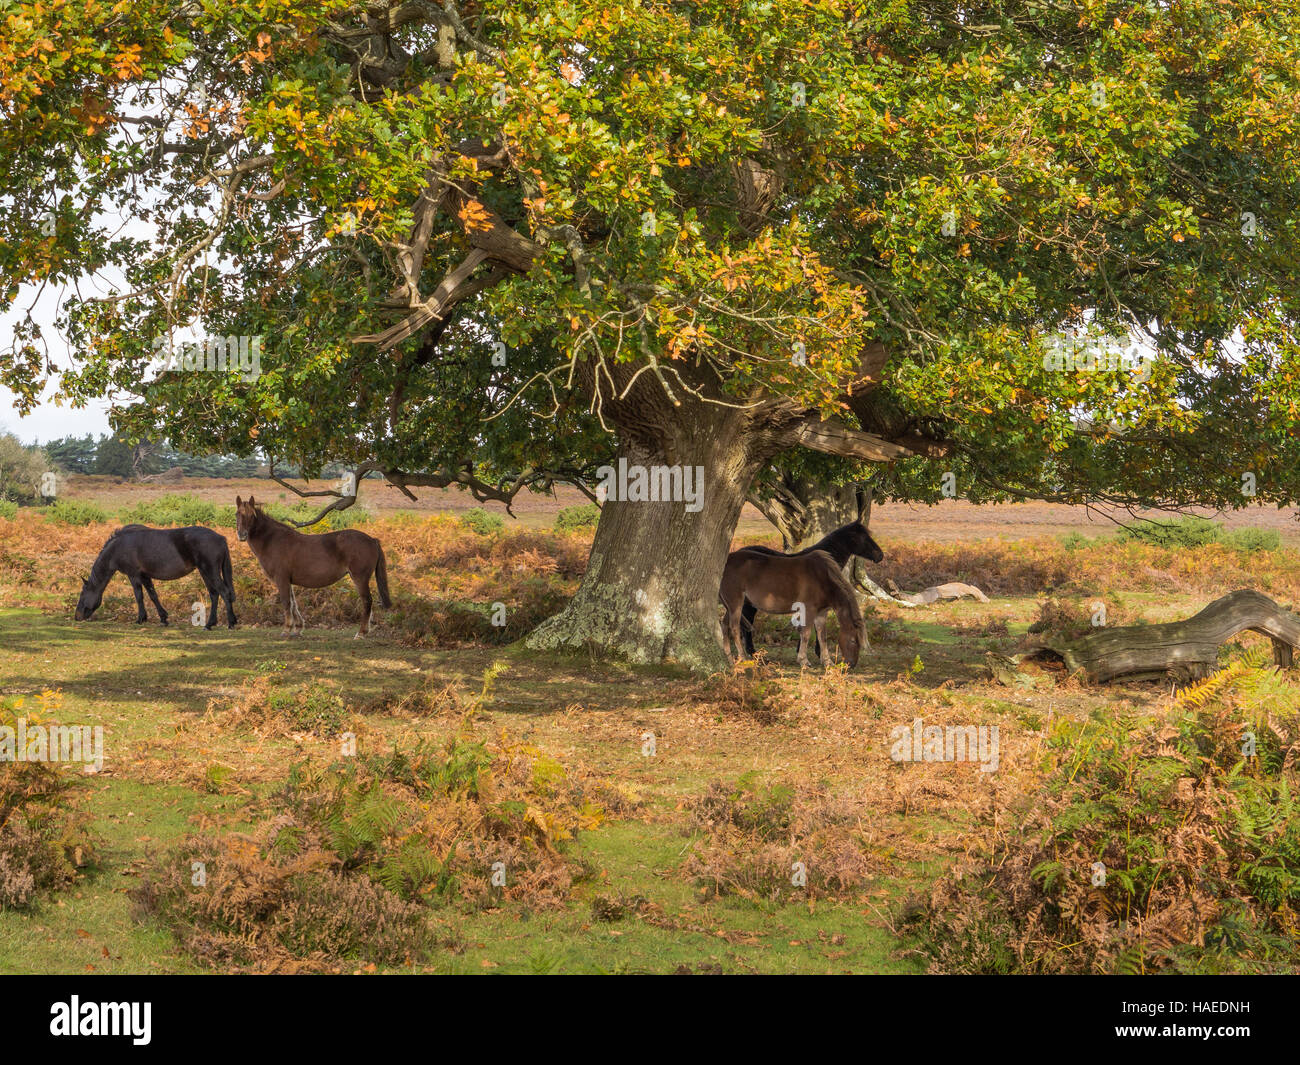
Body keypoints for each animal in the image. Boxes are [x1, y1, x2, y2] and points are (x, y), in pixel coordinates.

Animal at [76, 527, 239, 629]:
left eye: (82, 594)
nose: (77, 616)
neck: (118, 547)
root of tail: (221, 538)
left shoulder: (133, 575)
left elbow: (139, 596)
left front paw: (140, 619)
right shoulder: (144, 576)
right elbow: (153, 595)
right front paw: (163, 618)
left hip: (210, 571)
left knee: (224, 593)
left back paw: (230, 623)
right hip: (205, 572)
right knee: (214, 594)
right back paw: (210, 624)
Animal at [233, 496, 387, 637]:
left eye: (251, 515)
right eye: (237, 514)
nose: (242, 535)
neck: (272, 540)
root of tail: (372, 540)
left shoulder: (281, 579)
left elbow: (286, 602)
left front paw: (286, 629)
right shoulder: (288, 581)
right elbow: (293, 603)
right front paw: (297, 628)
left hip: (360, 578)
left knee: (367, 601)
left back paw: (361, 633)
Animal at [717, 548, 868, 665]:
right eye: (853, 640)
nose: (851, 664)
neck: (822, 578)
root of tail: (726, 562)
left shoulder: (821, 613)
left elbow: (822, 636)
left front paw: (827, 661)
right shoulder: (809, 610)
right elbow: (806, 633)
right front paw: (803, 660)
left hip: (731, 606)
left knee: (724, 625)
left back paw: (729, 658)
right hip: (736, 603)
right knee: (734, 628)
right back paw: (742, 657)